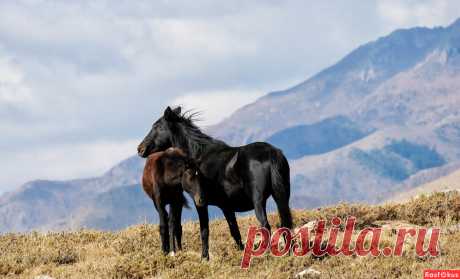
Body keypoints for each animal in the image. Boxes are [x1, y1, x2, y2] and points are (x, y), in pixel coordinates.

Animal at [138, 107, 292, 260]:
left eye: (157, 126)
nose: (140, 149)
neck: (199, 156)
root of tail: (272, 153)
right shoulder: (226, 206)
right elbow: (234, 230)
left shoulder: (201, 203)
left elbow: (204, 230)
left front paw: (204, 258)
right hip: (282, 196)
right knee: (286, 223)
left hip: (258, 201)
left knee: (265, 225)